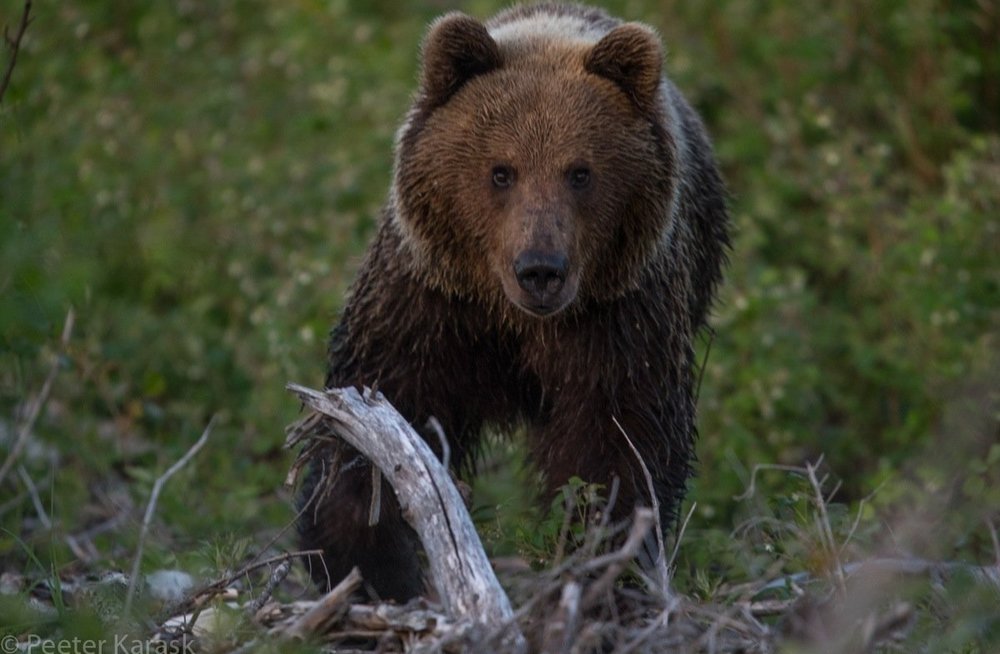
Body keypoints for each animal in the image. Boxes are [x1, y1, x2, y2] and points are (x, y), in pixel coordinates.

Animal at [296, 2, 728, 604]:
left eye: (580, 172)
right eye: (501, 171)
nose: (540, 269)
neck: (509, 318)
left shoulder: (619, 318)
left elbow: (619, 445)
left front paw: (597, 567)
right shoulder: (429, 303)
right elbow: (375, 420)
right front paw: (368, 566)